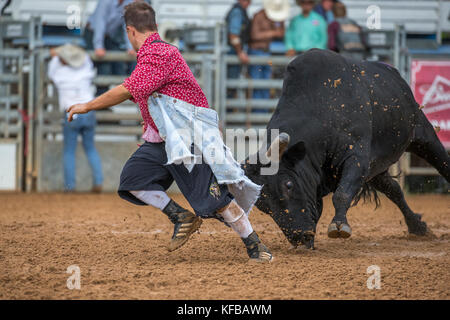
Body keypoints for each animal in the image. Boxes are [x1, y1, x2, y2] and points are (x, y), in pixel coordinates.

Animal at [244, 48, 448, 249]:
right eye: (263, 205)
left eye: (288, 185)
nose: (297, 236)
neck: (320, 111)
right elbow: (317, 207)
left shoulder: (357, 159)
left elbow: (341, 194)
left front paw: (339, 225)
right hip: (376, 170)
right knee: (394, 189)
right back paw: (417, 226)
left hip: (422, 134)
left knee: (443, 163)